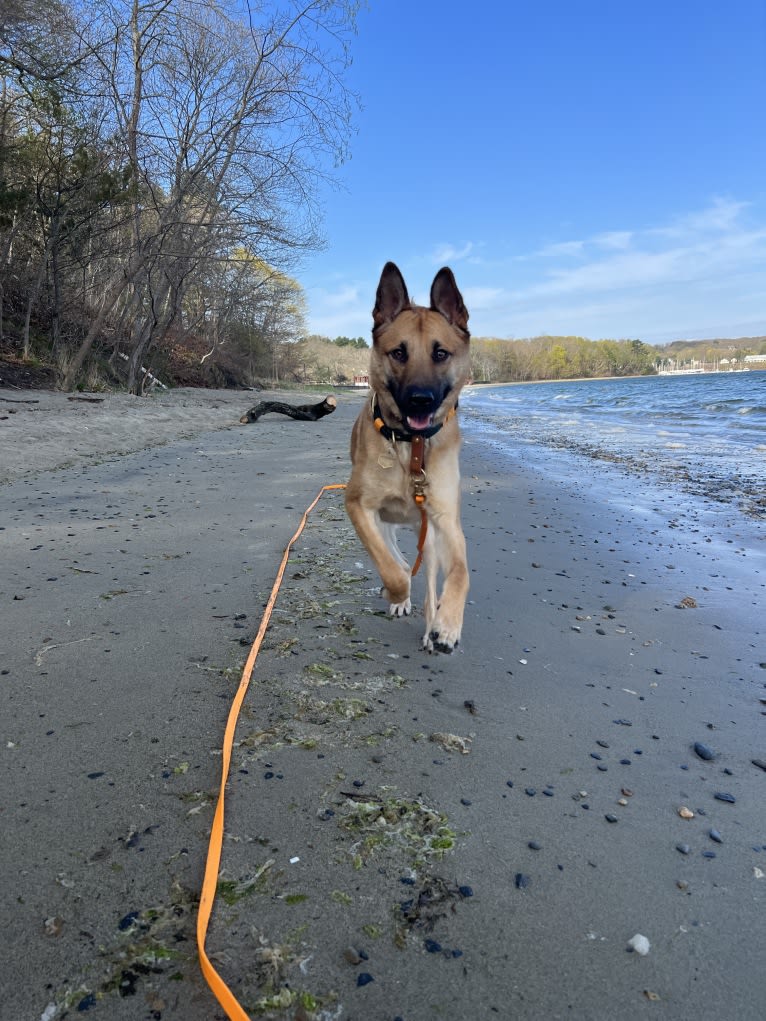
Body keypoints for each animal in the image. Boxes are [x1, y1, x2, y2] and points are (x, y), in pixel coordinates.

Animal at [345, 259, 471, 649]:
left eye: (440, 353)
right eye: (399, 353)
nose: (420, 400)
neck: (411, 447)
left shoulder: (446, 521)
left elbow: (461, 573)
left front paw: (448, 624)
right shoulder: (359, 507)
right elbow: (394, 571)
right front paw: (396, 593)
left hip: (428, 540)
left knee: (430, 584)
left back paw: (433, 625)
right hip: (386, 525)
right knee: (397, 561)